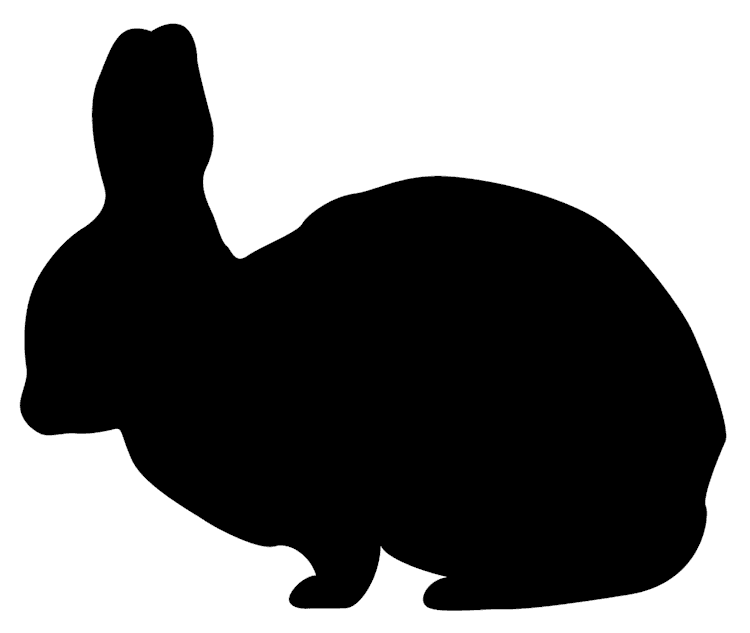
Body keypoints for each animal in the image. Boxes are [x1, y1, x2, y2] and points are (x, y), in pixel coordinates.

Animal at [19, 23, 727, 611]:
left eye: (83, 311)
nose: (27, 415)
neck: (211, 332)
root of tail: (700, 487)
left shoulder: (331, 505)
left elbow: (348, 559)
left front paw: (315, 603)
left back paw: (461, 596)